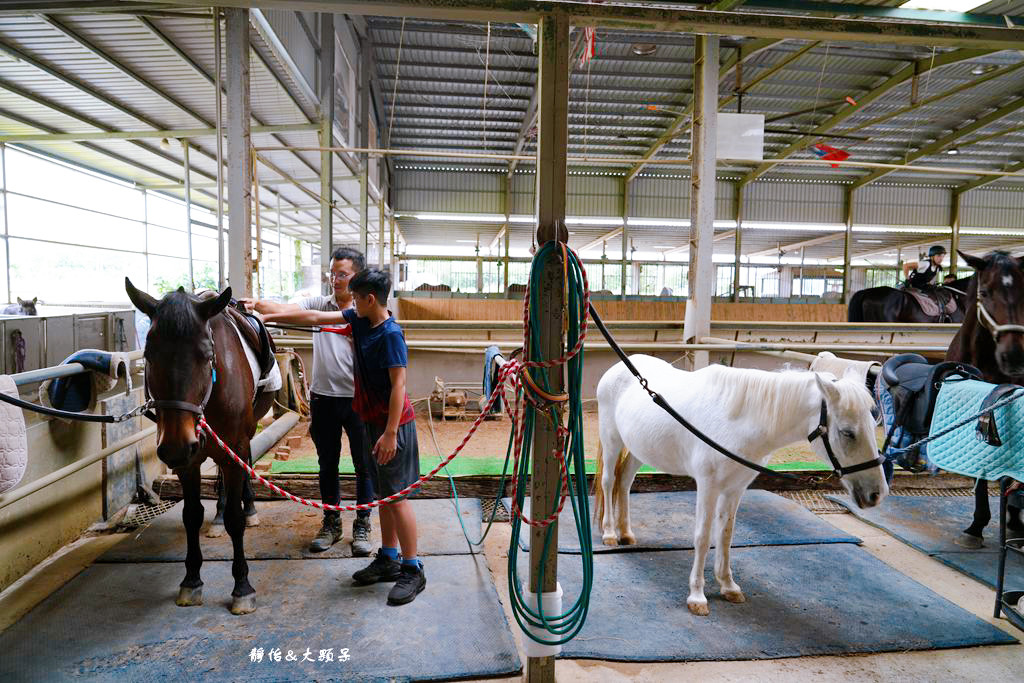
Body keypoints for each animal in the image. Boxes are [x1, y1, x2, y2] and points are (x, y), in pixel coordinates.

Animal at [125, 278, 274, 614]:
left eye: (206, 355)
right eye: (149, 354)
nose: (176, 447)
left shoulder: (234, 445)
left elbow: (235, 518)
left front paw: (242, 587)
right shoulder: (189, 460)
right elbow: (191, 515)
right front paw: (191, 581)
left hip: (243, 436)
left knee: (244, 469)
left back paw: (249, 507)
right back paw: (216, 518)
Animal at [593, 356, 888, 618]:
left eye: (873, 426)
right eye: (848, 432)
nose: (876, 494)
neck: (738, 421)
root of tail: (618, 367)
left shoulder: (735, 488)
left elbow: (726, 535)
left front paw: (728, 586)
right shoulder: (708, 486)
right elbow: (702, 537)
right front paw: (697, 597)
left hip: (639, 449)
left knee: (625, 481)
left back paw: (626, 533)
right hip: (612, 439)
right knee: (609, 481)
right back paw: (610, 533)